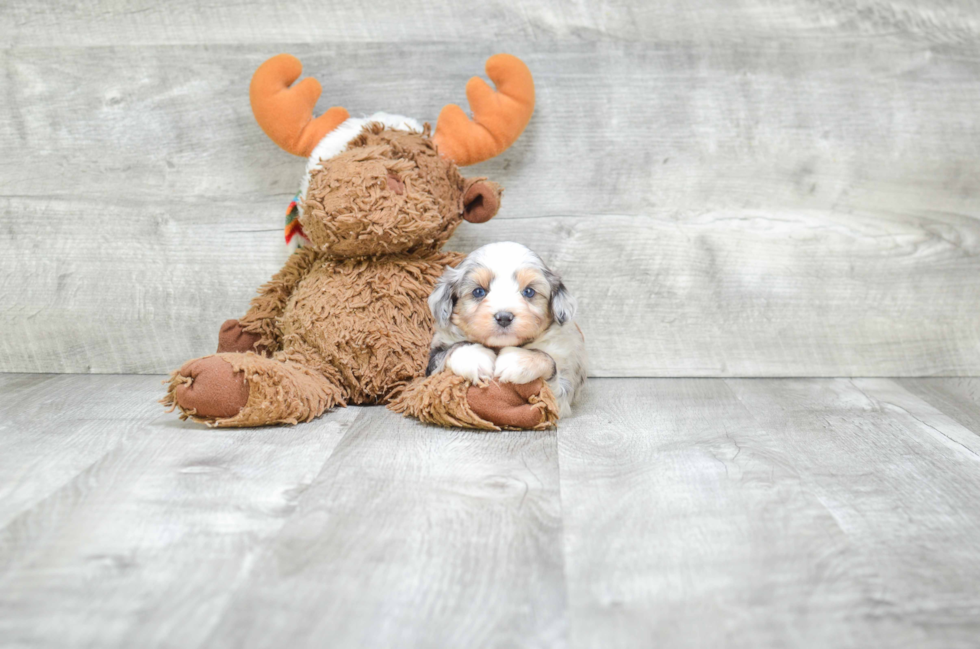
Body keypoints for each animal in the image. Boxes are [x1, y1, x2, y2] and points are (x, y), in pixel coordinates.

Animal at [424, 242, 584, 416]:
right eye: (478, 291)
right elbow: (451, 349)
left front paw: (519, 360)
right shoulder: (431, 365)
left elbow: (548, 369)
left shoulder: (563, 388)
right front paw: (474, 356)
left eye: (529, 292)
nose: (504, 317)